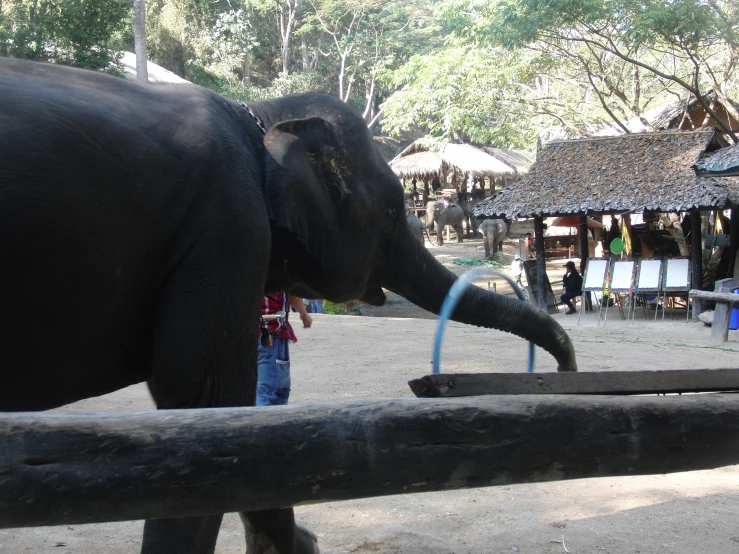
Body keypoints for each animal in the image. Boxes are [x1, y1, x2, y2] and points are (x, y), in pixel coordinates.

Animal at [0, 58, 580, 552]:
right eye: (393, 210)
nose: (564, 373)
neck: (259, 115)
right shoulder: (226, 227)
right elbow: (207, 400)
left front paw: (297, 544)